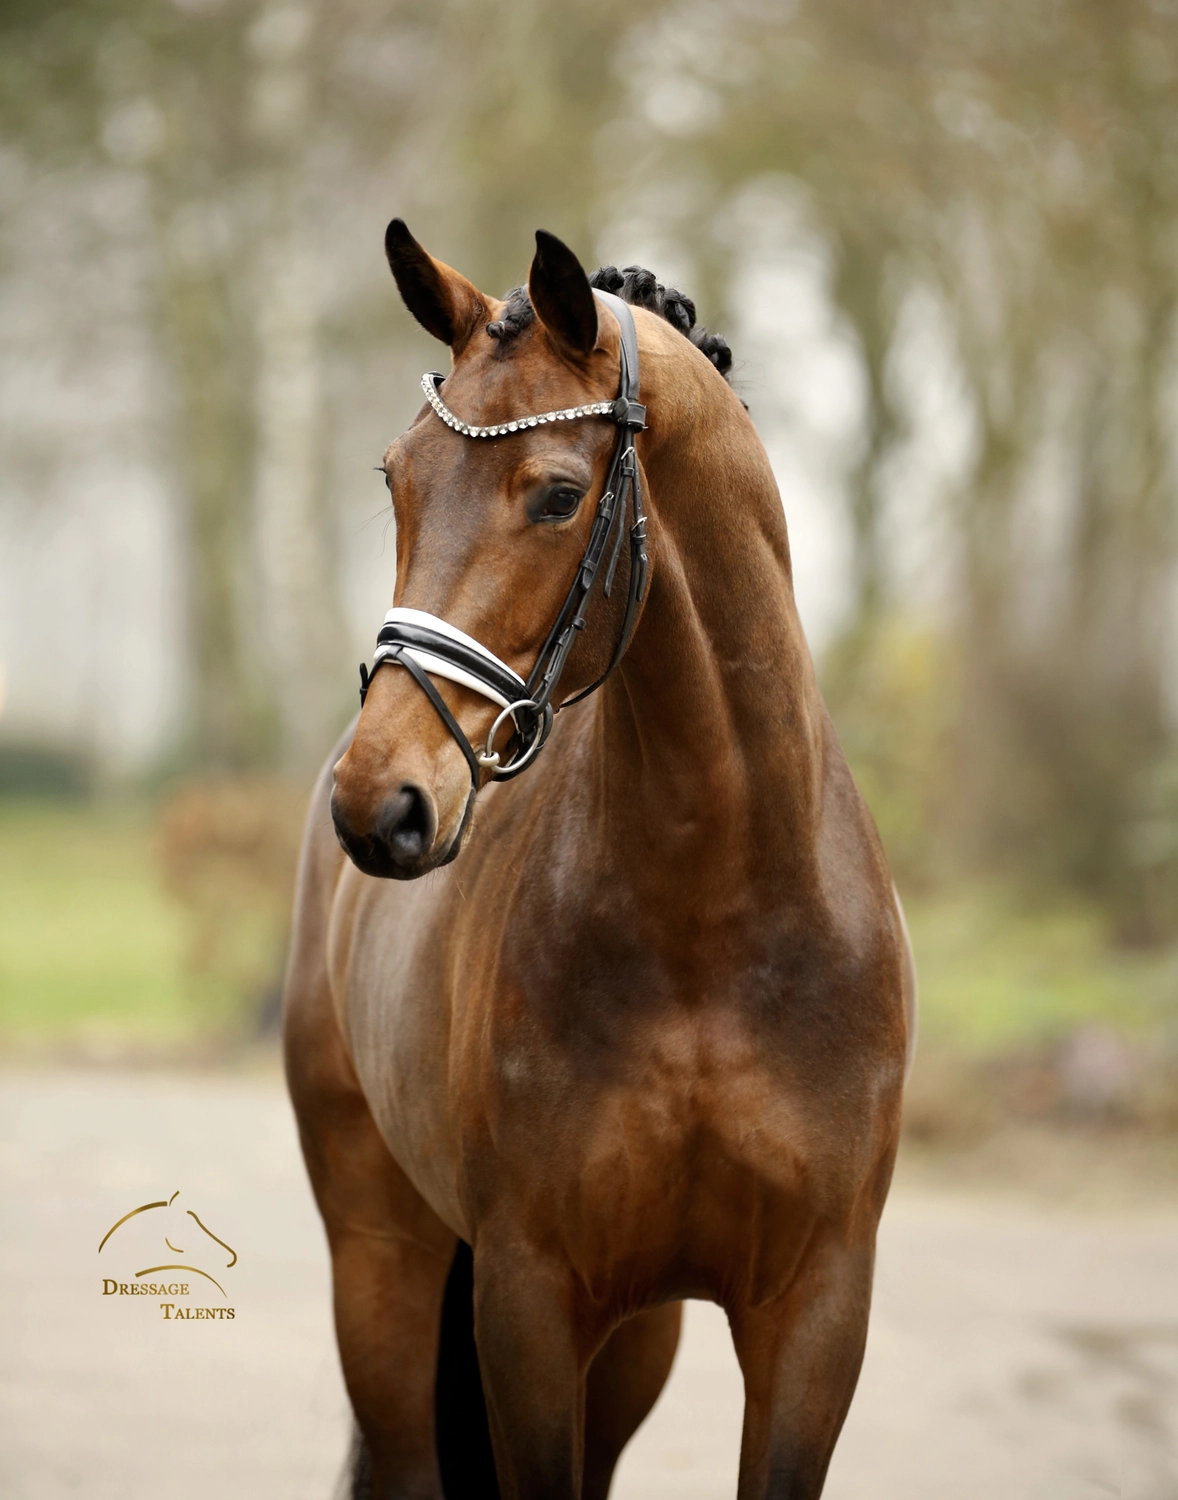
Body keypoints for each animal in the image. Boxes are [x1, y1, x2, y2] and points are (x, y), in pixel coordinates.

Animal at [283, 220, 916, 1500]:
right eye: (396, 480)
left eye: (557, 495)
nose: (379, 807)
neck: (714, 913)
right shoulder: (529, 1297)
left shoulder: (814, 1309)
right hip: (382, 1258)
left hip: (635, 1340)